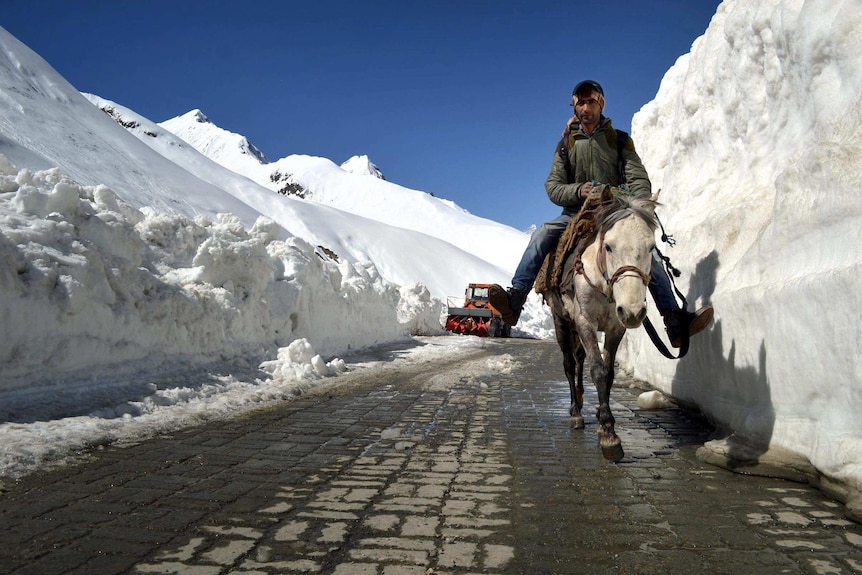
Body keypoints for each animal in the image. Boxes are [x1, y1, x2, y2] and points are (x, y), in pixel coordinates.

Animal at [540, 190, 660, 464]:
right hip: (562, 321)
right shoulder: (585, 321)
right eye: (609, 246)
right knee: (569, 364)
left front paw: (603, 423)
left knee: (579, 359)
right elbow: (598, 370)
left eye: (651, 247)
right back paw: (575, 411)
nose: (634, 311)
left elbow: (610, 372)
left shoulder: (616, 328)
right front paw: (609, 435)